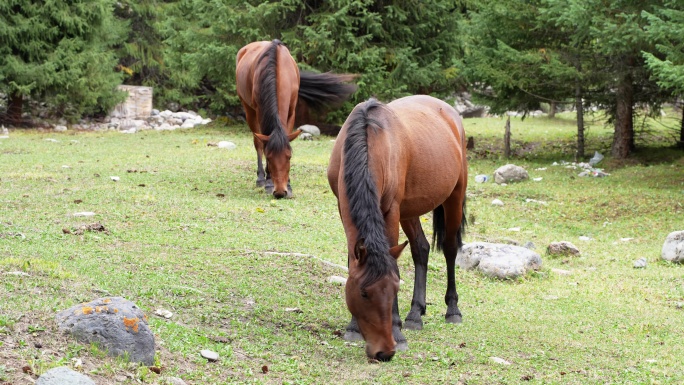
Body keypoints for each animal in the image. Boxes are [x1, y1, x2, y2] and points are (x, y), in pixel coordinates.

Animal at [236, 39, 356, 198]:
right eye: (269, 157)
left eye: (289, 157)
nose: (280, 192)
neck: (278, 71)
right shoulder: (260, 111)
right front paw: (268, 182)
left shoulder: (291, 111)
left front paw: (289, 184)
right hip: (249, 110)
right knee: (258, 143)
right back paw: (260, 178)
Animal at [328, 95, 468, 360]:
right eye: (363, 293)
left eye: (394, 289)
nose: (385, 352)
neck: (369, 140)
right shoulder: (343, 206)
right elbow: (352, 261)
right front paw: (353, 326)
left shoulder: (391, 210)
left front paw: (397, 330)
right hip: (409, 210)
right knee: (421, 249)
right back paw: (415, 314)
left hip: (454, 197)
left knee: (449, 249)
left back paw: (453, 310)